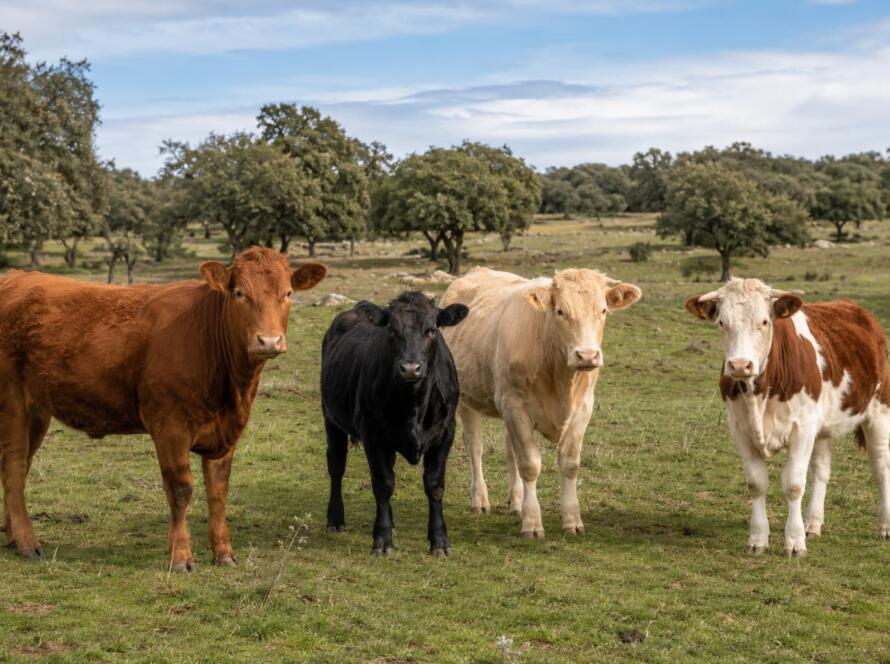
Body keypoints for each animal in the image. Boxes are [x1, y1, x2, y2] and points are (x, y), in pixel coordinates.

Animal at [0, 248, 326, 570]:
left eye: (287, 293)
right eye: (239, 293)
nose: (268, 341)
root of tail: (14, 277)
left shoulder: (226, 432)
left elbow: (218, 491)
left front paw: (224, 553)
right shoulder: (171, 426)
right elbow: (180, 490)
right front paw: (180, 556)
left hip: (37, 410)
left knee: (19, 465)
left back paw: (12, 536)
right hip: (12, 401)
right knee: (14, 467)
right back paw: (27, 543)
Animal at [321, 292, 469, 556]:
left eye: (431, 330)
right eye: (391, 329)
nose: (410, 368)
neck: (414, 403)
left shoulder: (445, 433)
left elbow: (435, 486)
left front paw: (439, 541)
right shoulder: (373, 434)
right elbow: (383, 484)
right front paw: (382, 539)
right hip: (331, 418)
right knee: (337, 466)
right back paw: (335, 519)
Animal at [441, 267, 642, 538]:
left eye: (603, 310)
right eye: (560, 311)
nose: (587, 356)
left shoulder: (583, 408)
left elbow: (569, 463)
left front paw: (572, 521)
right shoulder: (515, 406)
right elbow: (529, 465)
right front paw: (532, 523)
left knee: (509, 451)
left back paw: (516, 503)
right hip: (465, 398)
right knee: (475, 447)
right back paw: (480, 500)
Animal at [686, 277, 890, 557]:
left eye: (764, 321)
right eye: (721, 322)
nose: (740, 365)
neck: (759, 394)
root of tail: (857, 309)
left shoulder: (802, 429)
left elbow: (794, 485)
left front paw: (794, 542)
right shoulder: (740, 429)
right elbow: (756, 484)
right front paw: (758, 539)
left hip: (879, 412)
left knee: (881, 466)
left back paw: (884, 527)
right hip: (821, 426)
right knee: (822, 469)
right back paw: (813, 524)